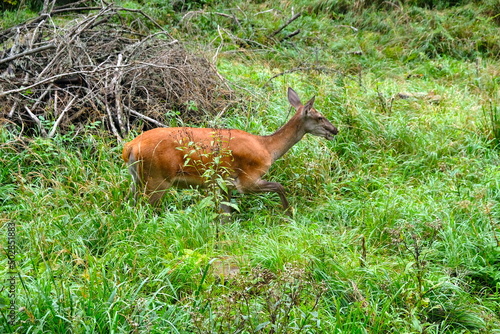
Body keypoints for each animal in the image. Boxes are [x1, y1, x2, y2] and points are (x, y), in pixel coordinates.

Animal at [122, 87, 338, 215]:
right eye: (320, 116)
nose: (335, 130)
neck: (268, 148)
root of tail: (130, 146)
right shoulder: (248, 179)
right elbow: (279, 186)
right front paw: (287, 213)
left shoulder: (226, 186)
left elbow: (225, 214)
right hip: (157, 178)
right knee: (144, 209)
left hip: (138, 178)